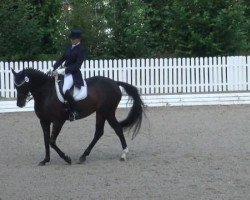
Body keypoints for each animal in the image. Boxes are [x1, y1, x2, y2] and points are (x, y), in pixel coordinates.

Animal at [11, 69, 145, 166]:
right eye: (15, 86)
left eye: (23, 85)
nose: (19, 104)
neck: (46, 93)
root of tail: (115, 82)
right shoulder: (44, 121)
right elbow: (46, 141)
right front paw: (45, 160)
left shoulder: (58, 121)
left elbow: (52, 141)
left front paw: (67, 158)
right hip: (101, 113)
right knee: (99, 132)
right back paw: (83, 156)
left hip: (108, 112)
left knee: (117, 129)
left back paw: (123, 155)